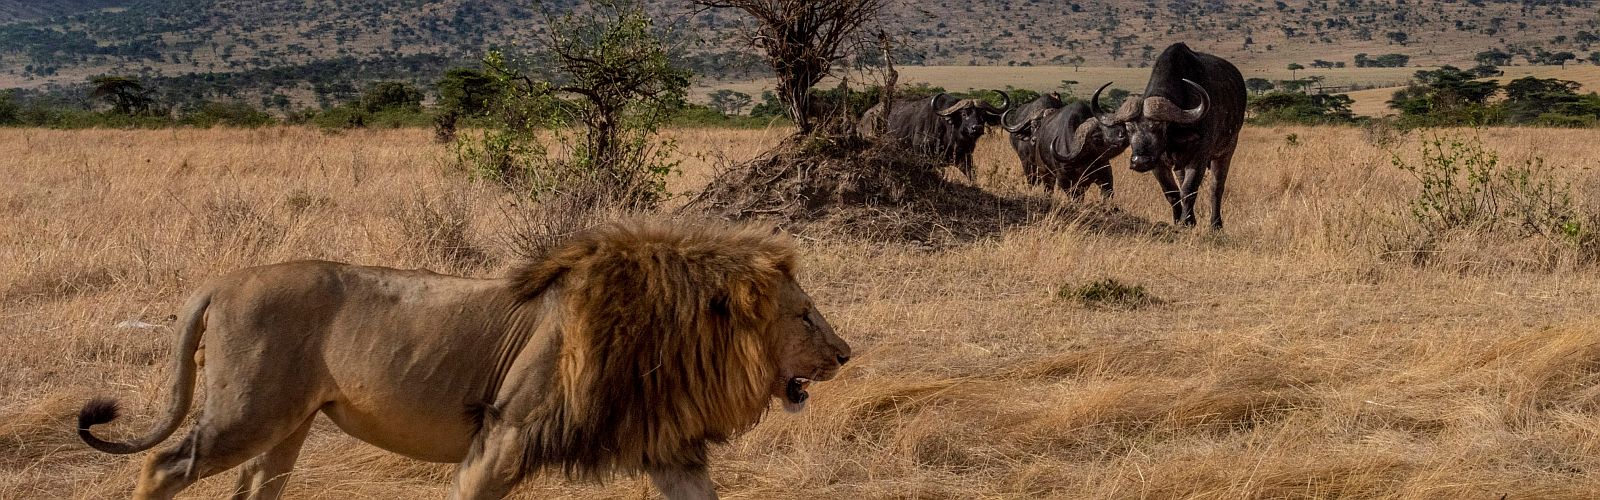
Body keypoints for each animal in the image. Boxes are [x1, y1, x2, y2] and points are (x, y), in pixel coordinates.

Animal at [78, 221, 851, 500]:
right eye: (805, 314)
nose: (845, 354)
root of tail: (221, 281)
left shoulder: (666, 448)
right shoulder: (505, 434)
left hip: (287, 426)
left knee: (252, 487)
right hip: (247, 411)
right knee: (162, 464)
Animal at [864, 90, 1011, 180]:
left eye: (983, 115)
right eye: (964, 114)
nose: (977, 128)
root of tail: (866, 115)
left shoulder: (965, 158)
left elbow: (972, 175)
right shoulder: (923, 157)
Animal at [1100, 42, 1248, 229]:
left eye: (1160, 126)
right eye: (1129, 128)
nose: (1139, 161)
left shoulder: (1199, 157)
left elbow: (1189, 189)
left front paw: (1187, 221)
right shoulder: (1158, 164)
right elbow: (1172, 192)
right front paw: (1180, 221)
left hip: (1226, 151)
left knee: (1216, 188)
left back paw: (1216, 224)